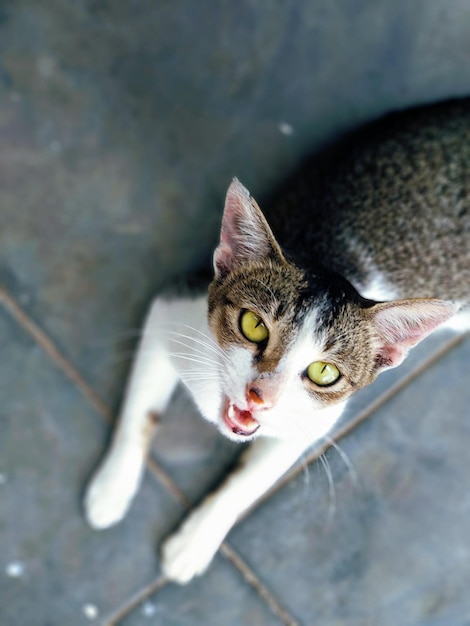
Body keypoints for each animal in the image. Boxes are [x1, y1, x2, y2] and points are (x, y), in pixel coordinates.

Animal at [84, 96, 470, 580]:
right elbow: (143, 414)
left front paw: (194, 542)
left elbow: (246, 484)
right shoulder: (172, 311)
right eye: (254, 326)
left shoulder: (312, 424)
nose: (260, 395)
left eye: (323, 372)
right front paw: (112, 488)